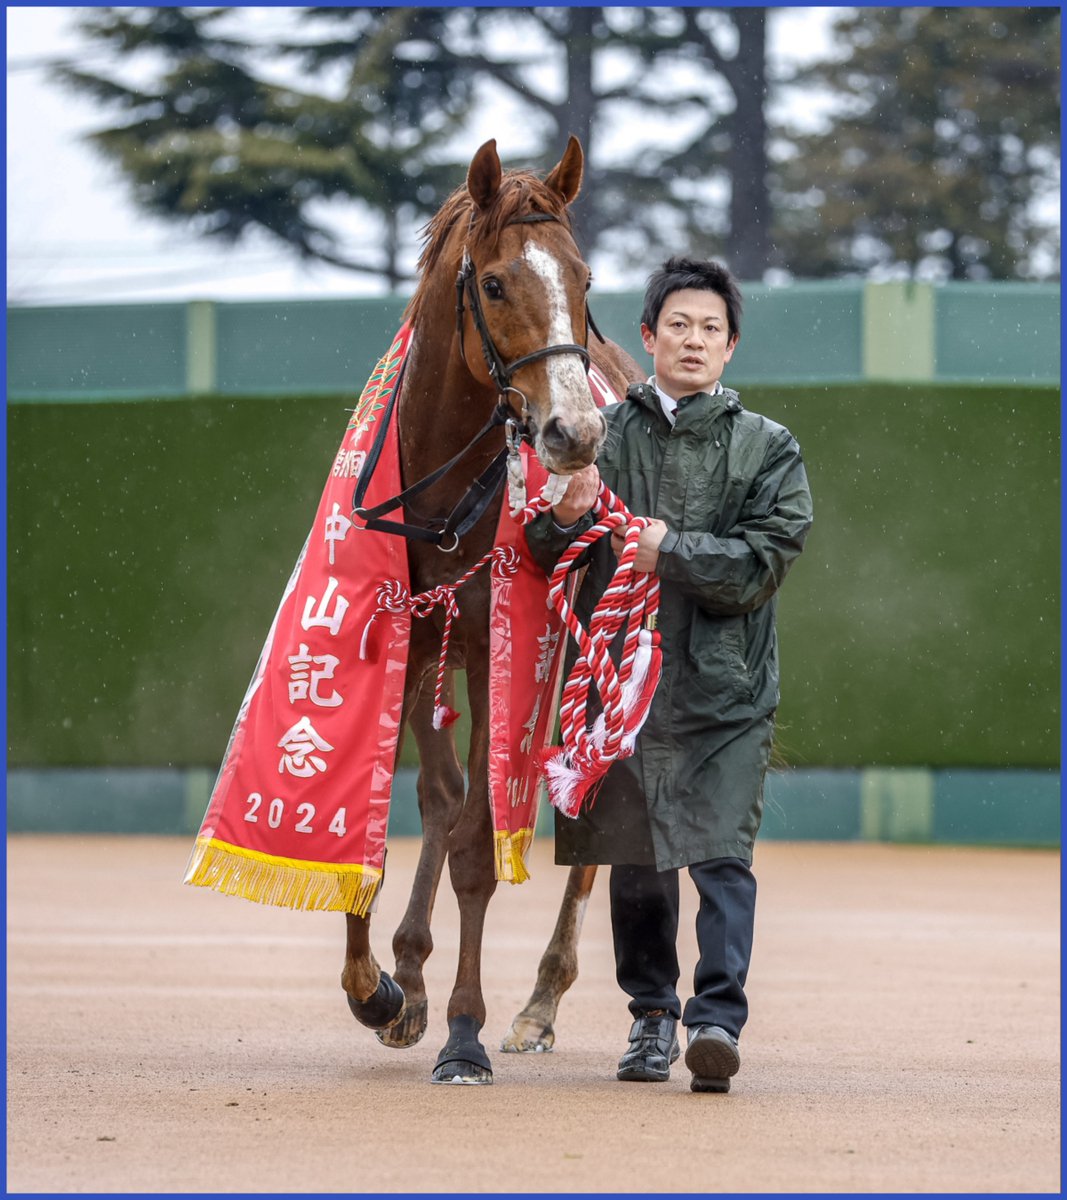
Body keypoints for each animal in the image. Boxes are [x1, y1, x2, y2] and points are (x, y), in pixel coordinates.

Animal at [340, 135, 644, 1084]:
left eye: (583, 278)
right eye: (499, 283)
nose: (575, 434)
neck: (441, 493)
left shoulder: (492, 639)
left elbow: (478, 836)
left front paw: (464, 1031)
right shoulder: (410, 630)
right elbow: (411, 803)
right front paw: (380, 987)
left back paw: (540, 1000)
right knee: (445, 793)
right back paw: (409, 976)